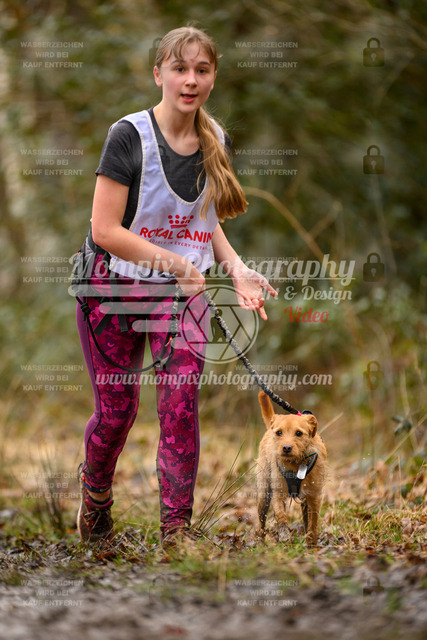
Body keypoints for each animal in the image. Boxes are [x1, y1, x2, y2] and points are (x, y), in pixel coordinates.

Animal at [256, 391, 327, 545]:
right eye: (279, 432)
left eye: (299, 433)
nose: (286, 448)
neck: (295, 464)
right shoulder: (277, 494)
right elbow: (281, 516)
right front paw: (284, 533)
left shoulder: (314, 496)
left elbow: (313, 520)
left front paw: (312, 540)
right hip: (263, 496)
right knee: (261, 521)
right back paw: (260, 540)